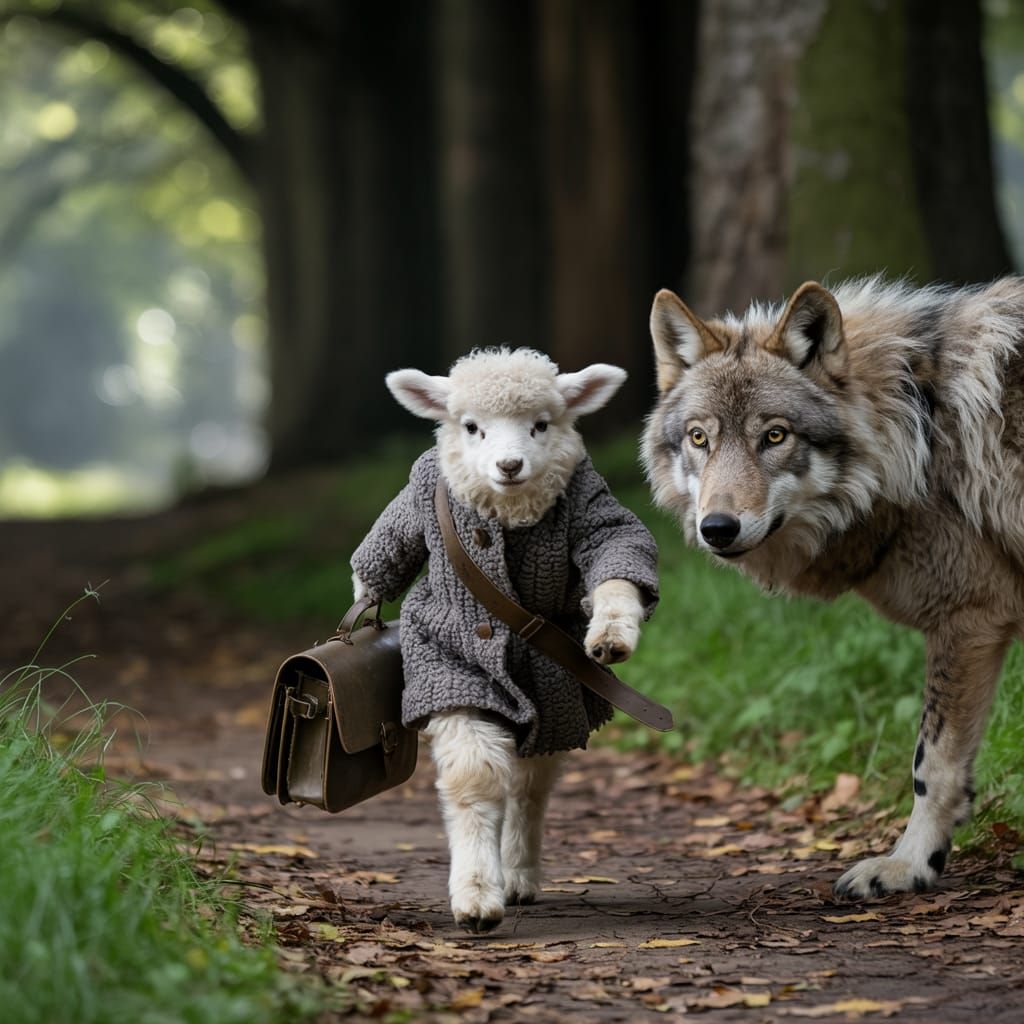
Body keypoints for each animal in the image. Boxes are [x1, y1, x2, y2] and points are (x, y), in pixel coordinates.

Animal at [350, 346, 659, 932]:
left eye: (541, 425)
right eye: (471, 427)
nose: (510, 465)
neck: (506, 508)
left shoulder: (590, 501)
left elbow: (617, 545)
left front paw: (611, 630)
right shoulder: (457, 680)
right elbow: (474, 779)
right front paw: (474, 897)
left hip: (557, 706)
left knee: (530, 788)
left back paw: (518, 873)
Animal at [641, 275, 1024, 899]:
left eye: (775, 436)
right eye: (700, 438)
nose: (716, 528)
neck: (920, 429)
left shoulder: (970, 617)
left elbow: (931, 762)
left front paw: (909, 866)